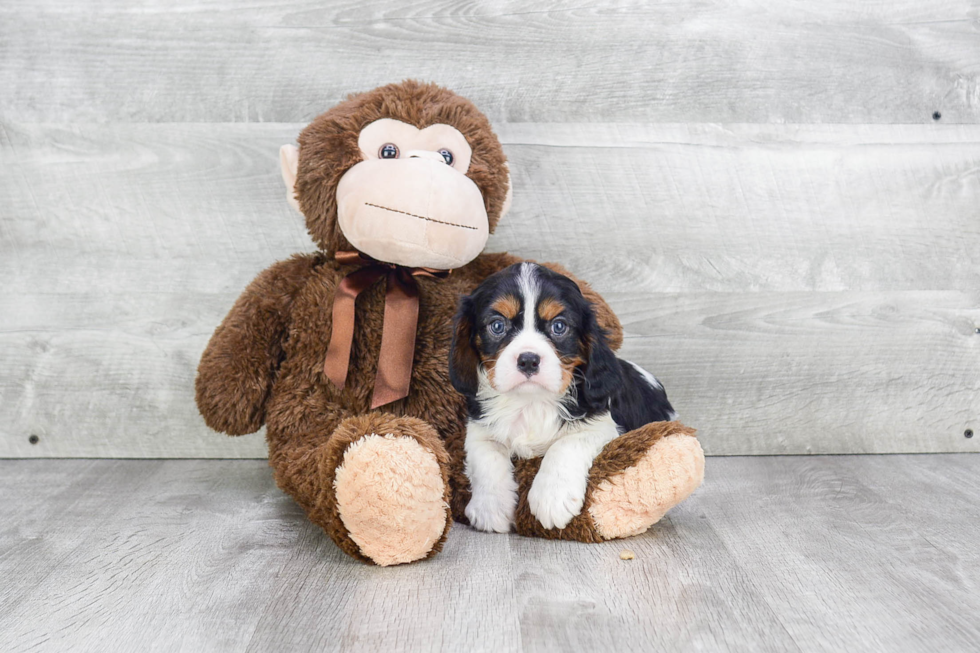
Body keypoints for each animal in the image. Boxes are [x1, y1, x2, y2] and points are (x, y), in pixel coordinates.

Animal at [450, 262, 672, 532]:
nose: (528, 360)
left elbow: (564, 446)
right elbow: (486, 457)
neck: (530, 401)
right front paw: (490, 508)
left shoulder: (601, 426)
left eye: (559, 326)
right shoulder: (479, 428)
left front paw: (551, 499)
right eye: (497, 325)